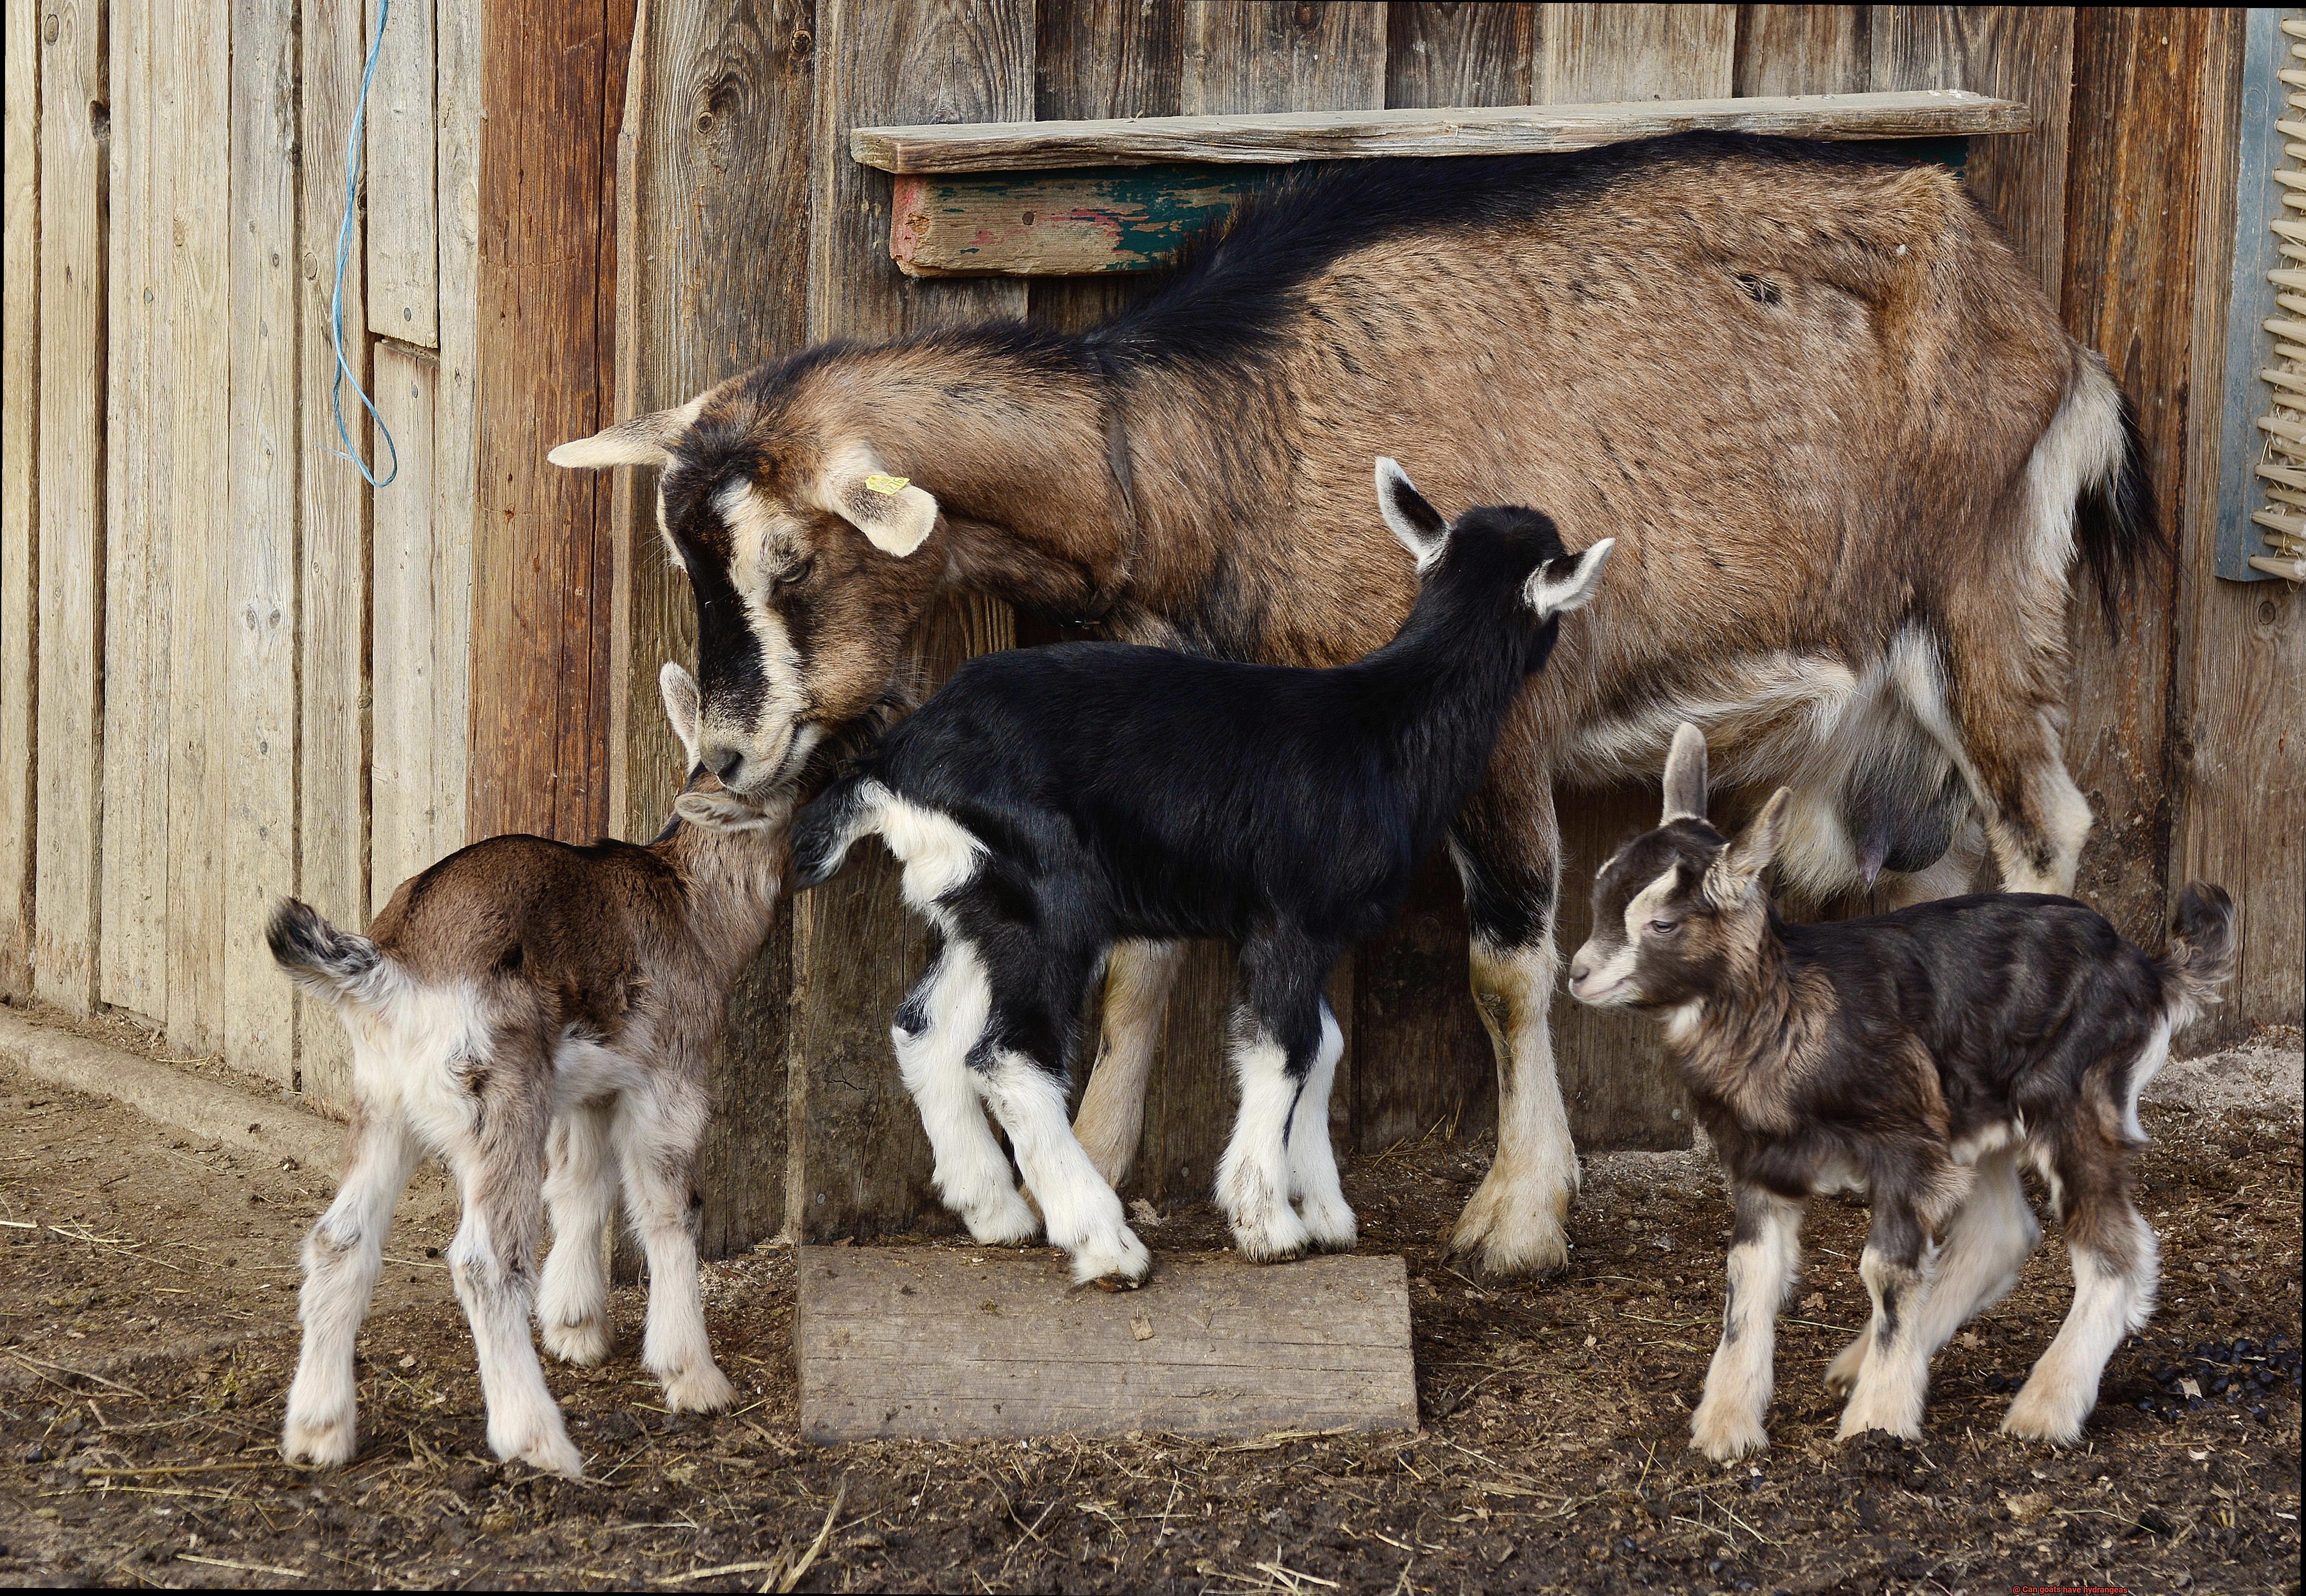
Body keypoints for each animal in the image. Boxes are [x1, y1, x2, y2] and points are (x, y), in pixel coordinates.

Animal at [549, 137, 2149, 1282]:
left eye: (789, 557)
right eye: (683, 554)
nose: (726, 757)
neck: (1213, 442)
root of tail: (2043, 324)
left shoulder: (1498, 726)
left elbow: (1507, 967)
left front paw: (1514, 1218)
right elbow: (1142, 971)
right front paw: (1106, 1165)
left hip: (1977, 589)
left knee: (2041, 822)